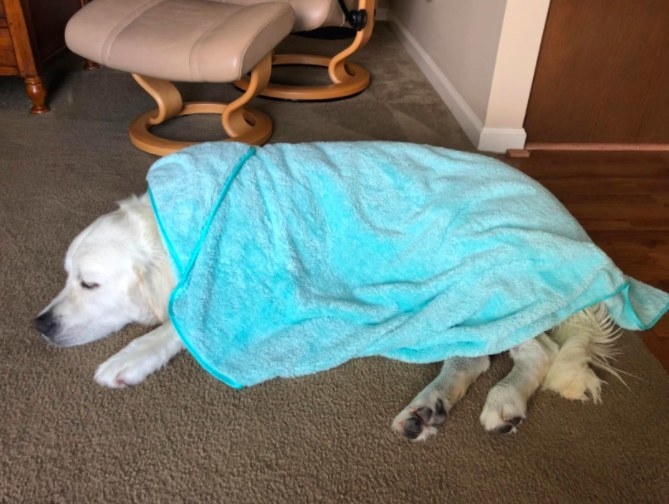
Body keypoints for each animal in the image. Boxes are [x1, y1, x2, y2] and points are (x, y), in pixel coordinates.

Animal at [35, 194, 620, 440]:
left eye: (89, 283)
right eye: (66, 276)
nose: (41, 324)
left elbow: (178, 324)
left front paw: (133, 355)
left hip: (487, 283)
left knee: (538, 352)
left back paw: (505, 401)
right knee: (473, 360)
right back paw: (426, 410)